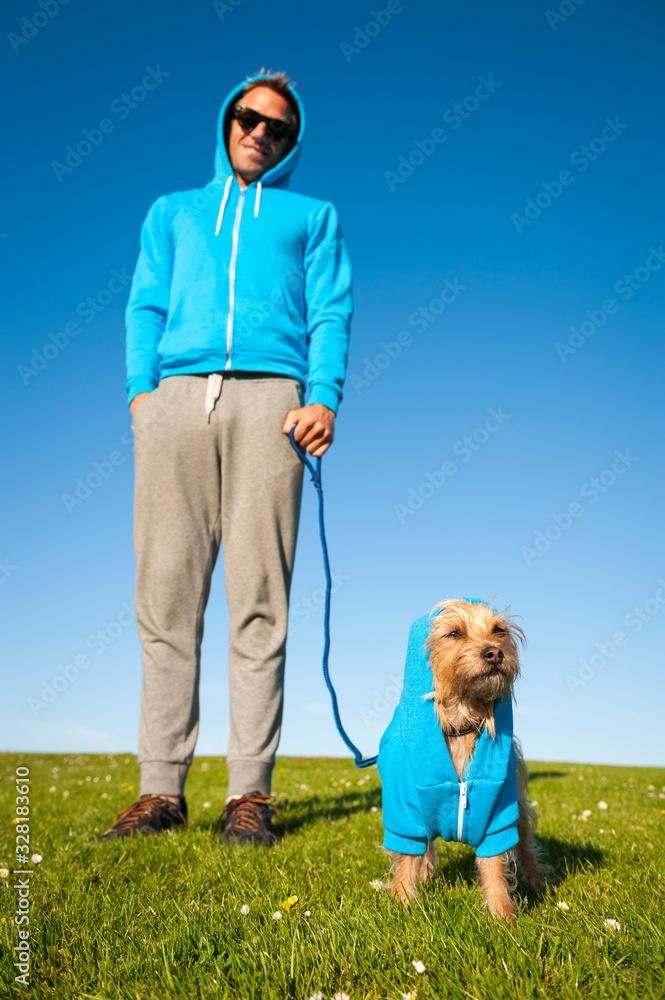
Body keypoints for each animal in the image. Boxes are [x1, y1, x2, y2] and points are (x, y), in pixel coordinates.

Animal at [376, 596, 548, 924]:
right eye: (455, 633)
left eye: (498, 631)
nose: (495, 652)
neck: (461, 720)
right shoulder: (404, 813)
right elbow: (407, 858)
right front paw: (403, 903)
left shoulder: (497, 812)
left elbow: (495, 865)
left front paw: (502, 916)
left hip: (518, 805)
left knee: (524, 842)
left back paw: (535, 878)